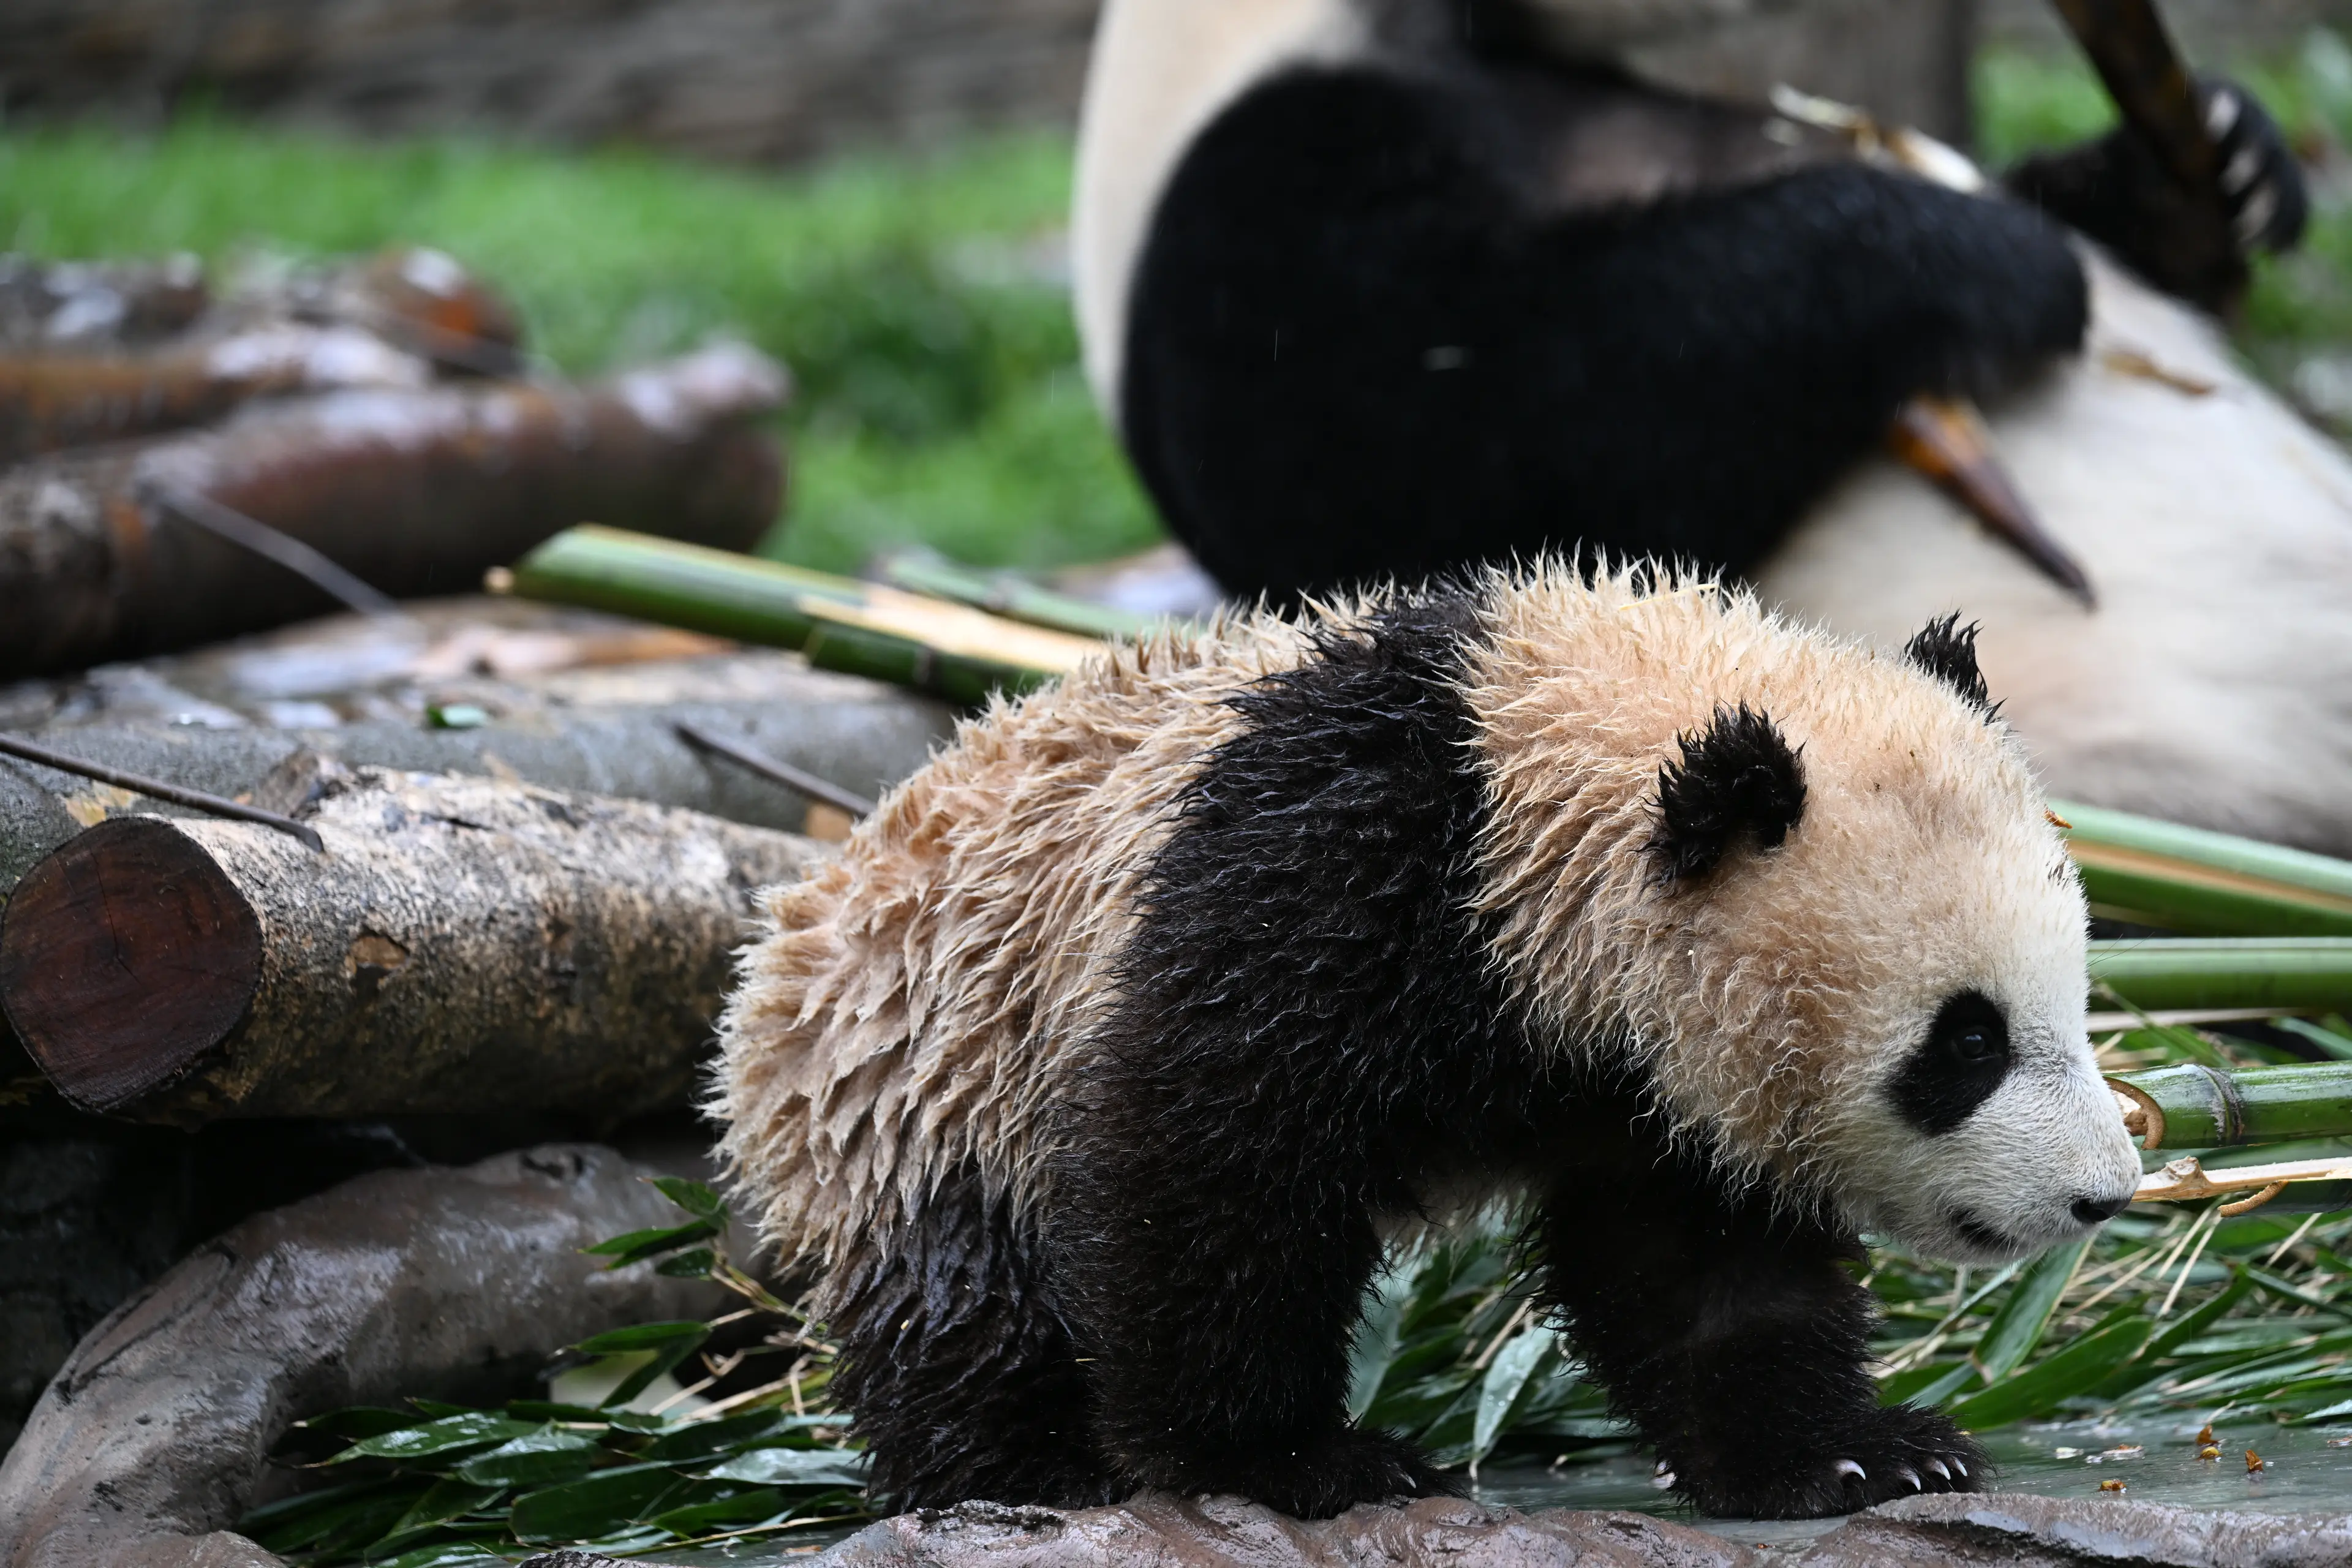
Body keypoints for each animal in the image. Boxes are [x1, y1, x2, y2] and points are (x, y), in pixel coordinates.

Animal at [713, 563, 2144, 1522]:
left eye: (2074, 998)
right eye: (1965, 1044)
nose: (2102, 1195)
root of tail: (807, 913)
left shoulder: (1643, 1069)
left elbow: (1698, 1266)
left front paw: (1858, 1452)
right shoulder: (1323, 877)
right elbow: (1210, 1163)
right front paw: (1287, 1458)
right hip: (931, 1070)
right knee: (963, 1294)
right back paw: (1027, 1468)